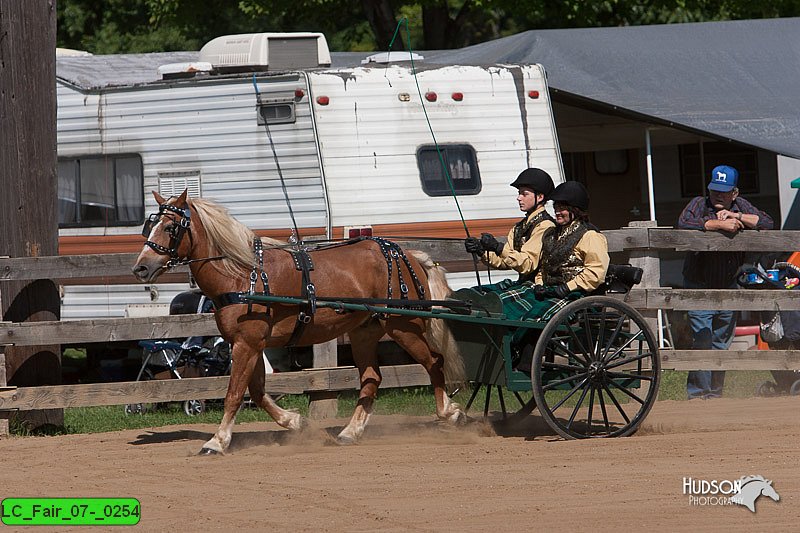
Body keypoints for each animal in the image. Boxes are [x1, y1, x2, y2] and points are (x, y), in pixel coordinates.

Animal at [133, 189, 468, 450]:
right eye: (150, 226)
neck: (242, 275)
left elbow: (234, 393)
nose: (141, 268)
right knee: (371, 379)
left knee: (434, 362)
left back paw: (449, 413)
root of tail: (406, 254)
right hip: (365, 331)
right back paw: (350, 431)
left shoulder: (246, 343)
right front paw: (294, 421)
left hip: (402, 327)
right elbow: (256, 391)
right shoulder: (252, 345)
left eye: (171, 227)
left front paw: (217, 441)